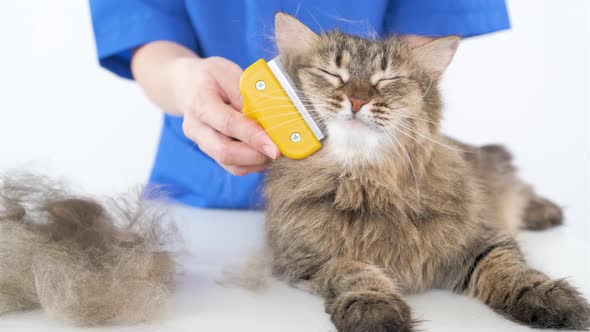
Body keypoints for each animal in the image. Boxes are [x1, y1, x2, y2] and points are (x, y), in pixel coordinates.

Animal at [264, 11, 590, 330]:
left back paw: (545, 211)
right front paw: (374, 309)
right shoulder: (307, 258)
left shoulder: (482, 238)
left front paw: (550, 298)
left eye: (387, 79)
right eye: (333, 74)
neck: (368, 182)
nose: (357, 100)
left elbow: (509, 271)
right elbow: (352, 272)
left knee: (518, 188)